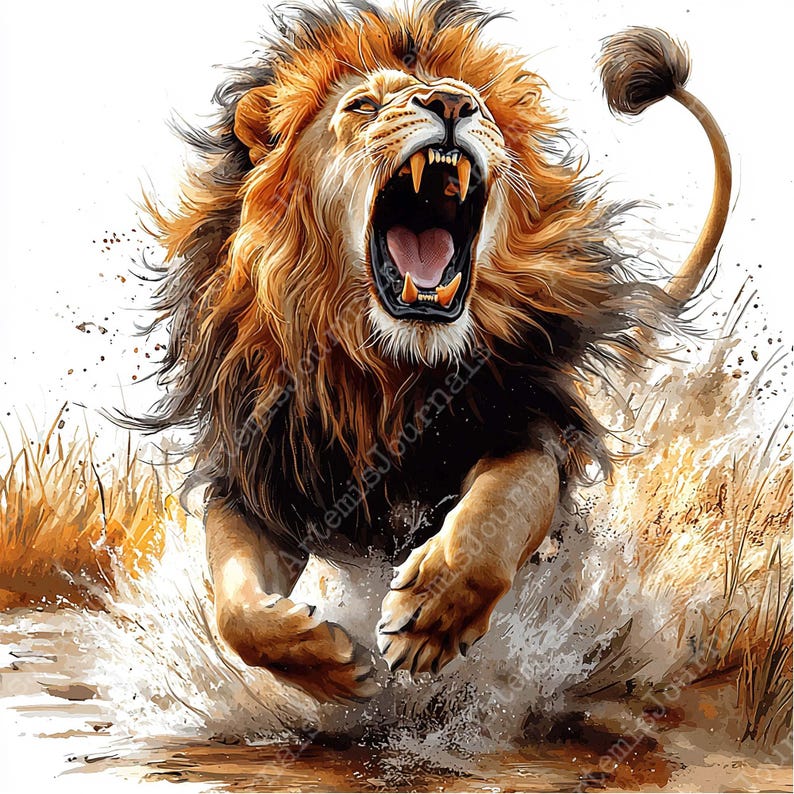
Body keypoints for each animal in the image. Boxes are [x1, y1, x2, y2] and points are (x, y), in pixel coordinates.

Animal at [135, 1, 730, 702]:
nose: (451, 102)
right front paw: (331, 666)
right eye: (361, 105)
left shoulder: (526, 423)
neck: (386, 374)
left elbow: (496, 513)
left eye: (483, 106)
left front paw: (431, 617)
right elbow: (234, 610)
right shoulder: (258, 475)